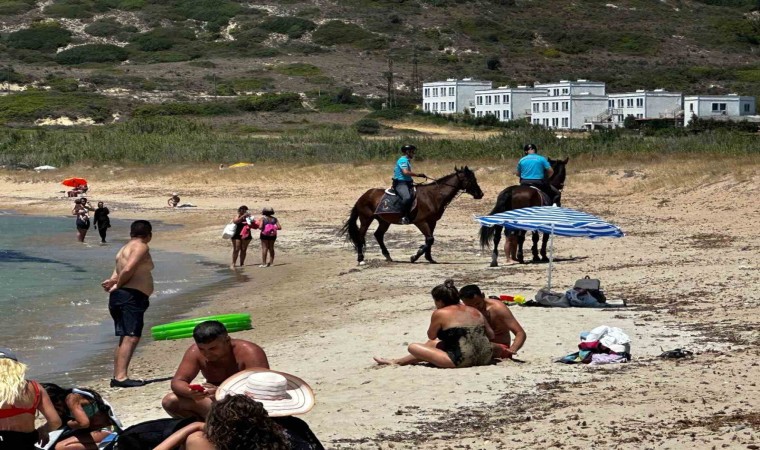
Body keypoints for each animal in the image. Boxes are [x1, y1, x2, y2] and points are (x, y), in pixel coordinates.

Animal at [342, 167, 484, 266]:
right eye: (471, 180)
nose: (480, 194)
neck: (432, 196)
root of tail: (364, 195)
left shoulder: (432, 222)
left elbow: (429, 239)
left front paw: (429, 258)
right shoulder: (420, 221)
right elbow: (430, 239)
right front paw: (414, 257)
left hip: (384, 221)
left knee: (378, 235)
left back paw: (388, 256)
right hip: (366, 219)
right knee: (361, 236)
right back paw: (361, 259)